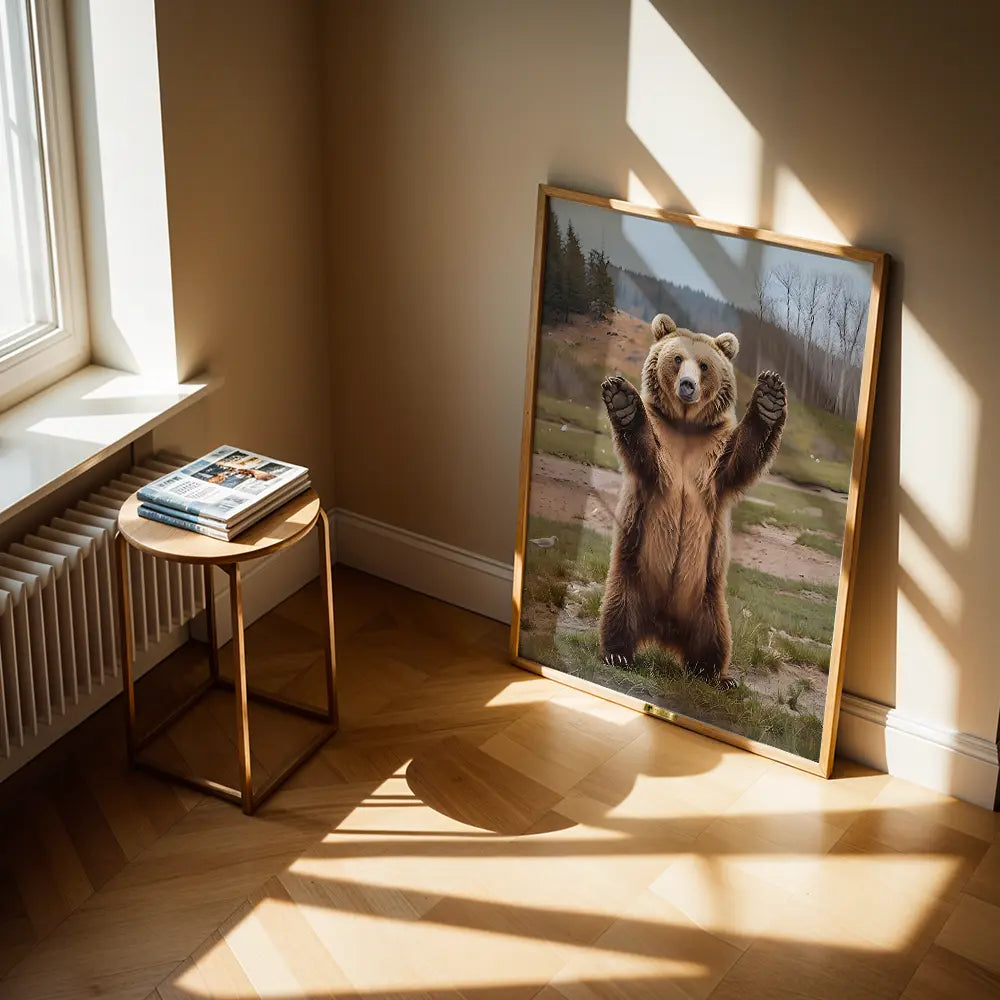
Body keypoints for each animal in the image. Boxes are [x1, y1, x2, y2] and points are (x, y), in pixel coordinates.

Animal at [598, 313, 787, 687]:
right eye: (676, 359)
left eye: (704, 365)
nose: (687, 385)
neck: (685, 427)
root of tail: (663, 626)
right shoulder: (664, 443)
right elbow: (645, 453)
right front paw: (622, 400)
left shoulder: (711, 453)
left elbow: (741, 457)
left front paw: (770, 399)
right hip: (631, 574)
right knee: (617, 610)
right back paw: (617, 653)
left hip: (707, 597)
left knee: (715, 637)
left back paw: (715, 675)